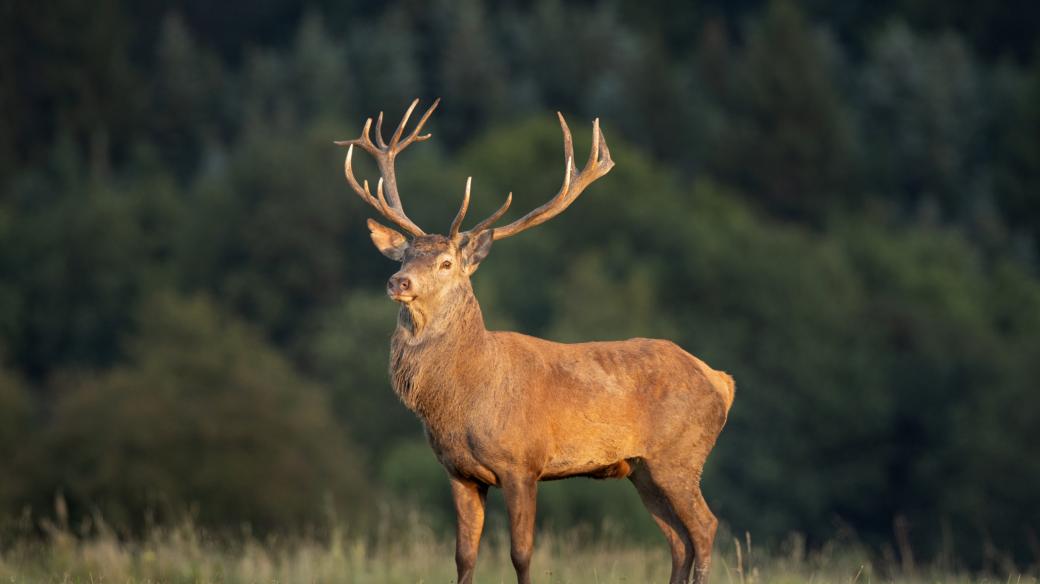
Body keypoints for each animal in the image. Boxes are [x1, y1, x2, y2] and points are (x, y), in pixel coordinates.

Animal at [336, 99, 736, 581]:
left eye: (446, 263)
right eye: (405, 256)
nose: (399, 282)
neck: (463, 397)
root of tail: (721, 381)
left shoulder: (522, 463)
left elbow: (521, 554)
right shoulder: (458, 472)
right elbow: (463, 556)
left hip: (680, 454)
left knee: (705, 528)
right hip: (643, 468)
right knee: (678, 540)